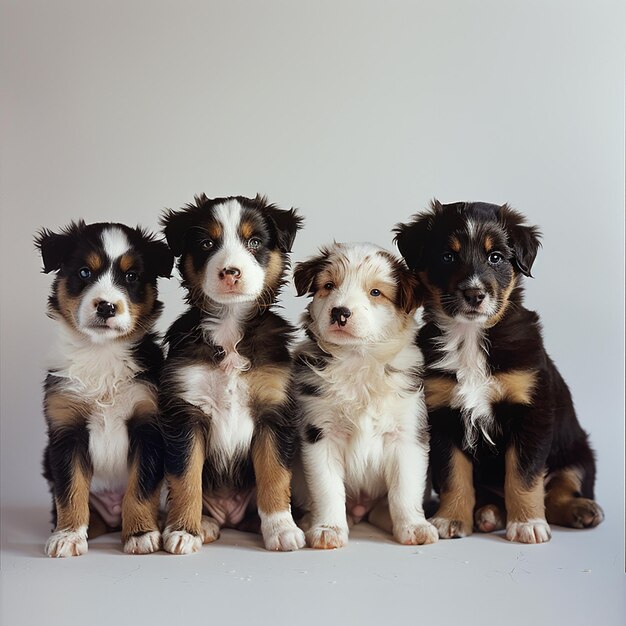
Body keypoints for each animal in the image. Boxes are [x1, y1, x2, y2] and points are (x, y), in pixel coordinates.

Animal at [35, 221, 172, 556]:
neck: (101, 353)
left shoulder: (148, 423)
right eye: (85, 272)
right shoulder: (66, 426)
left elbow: (140, 486)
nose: (107, 306)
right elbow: (70, 489)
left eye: (131, 276)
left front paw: (140, 534)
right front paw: (67, 536)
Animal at [158, 194, 304, 552]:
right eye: (207, 243)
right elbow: (185, 478)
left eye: (254, 242)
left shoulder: (273, 412)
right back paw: (206, 523)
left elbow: (275, 475)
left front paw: (282, 529)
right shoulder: (186, 410)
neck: (229, 323)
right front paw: (183, 532)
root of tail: (229, 516)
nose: (230, 273)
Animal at [292, 241, 434, 544]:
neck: (358, 359)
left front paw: (414, 527)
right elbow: (327, 488)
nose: (340, 312)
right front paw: (328, 529)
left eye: (376, 292)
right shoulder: (321, 433)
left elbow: (405, 488)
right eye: (329, 285)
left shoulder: (406, 432)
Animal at [392, 200, 604, 540]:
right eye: (447, 256)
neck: (470, 338)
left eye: (496, 257)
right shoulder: (442, 416)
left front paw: (528, 524)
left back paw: (581, 510)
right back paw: (489, 513)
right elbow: (454, 474)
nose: (475, 294)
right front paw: (450, 519)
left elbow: (524, 475)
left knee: (561, 488)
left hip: (577, 450)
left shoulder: (531, 413)